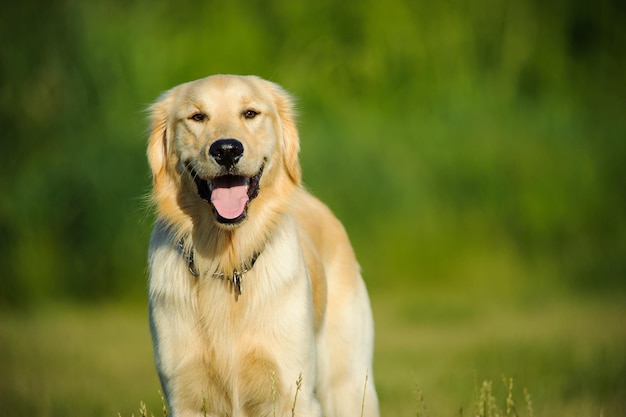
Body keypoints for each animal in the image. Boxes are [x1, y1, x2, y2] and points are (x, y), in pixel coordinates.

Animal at [146, 75, 378, 416]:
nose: (227, 150)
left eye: (250, 113)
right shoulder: (184, 395)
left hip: (346, 382)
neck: (225, 260)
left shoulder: (292, 392)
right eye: (197, 117)